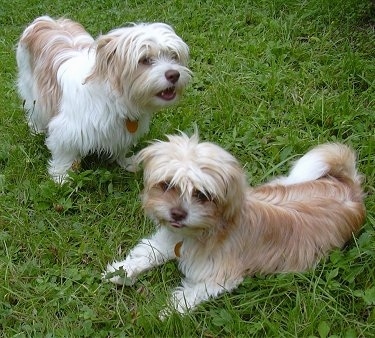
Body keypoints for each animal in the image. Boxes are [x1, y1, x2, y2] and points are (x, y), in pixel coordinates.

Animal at [16, 16, 191, 182]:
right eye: (144, 60)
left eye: (174, 56)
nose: (174, 74)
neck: (115, 98)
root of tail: (45, 21)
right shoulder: (66, 130)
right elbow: (63, 155)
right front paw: (61, 176)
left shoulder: (122, 131)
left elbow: (122, 147)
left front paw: (127, 162)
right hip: (31, 89)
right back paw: (36, 130)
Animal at [104, 134, 366, 314]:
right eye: (168, 185)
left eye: (202, 195)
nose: (177, 214)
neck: (208, 229)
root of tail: (350, 188)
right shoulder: (169, 240)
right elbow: (148, 254)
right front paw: (123, 271)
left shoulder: (219, 276)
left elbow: (191, 294)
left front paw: (169, 311)